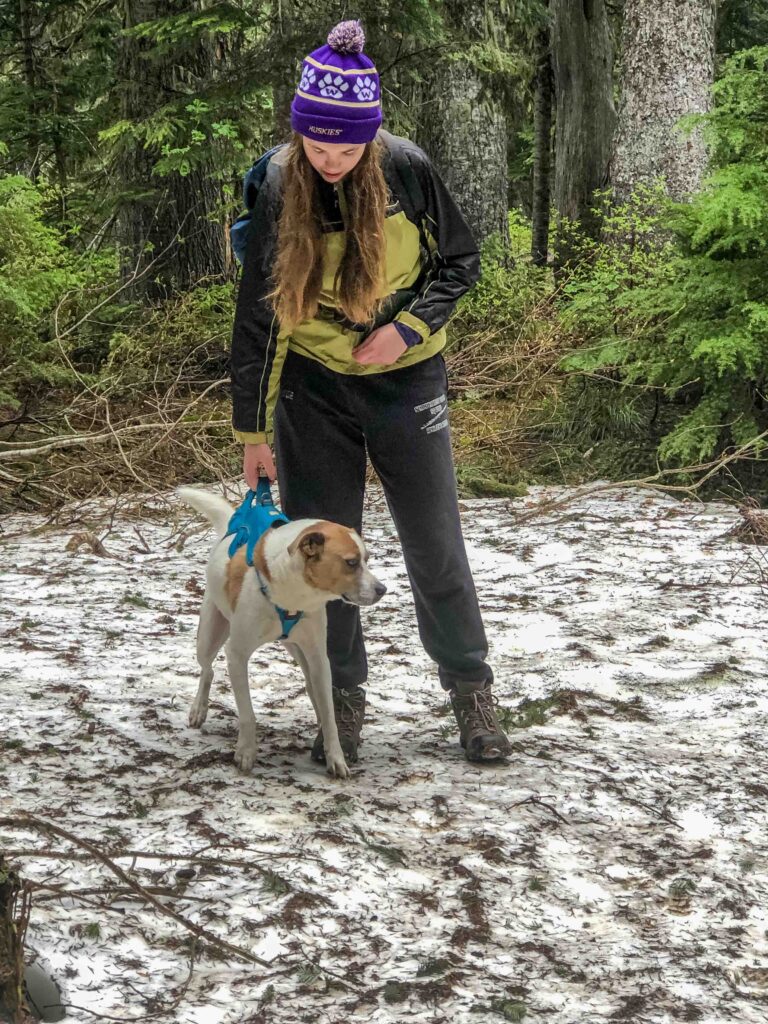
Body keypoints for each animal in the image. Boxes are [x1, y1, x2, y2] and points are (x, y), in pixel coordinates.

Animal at [177, 487, 387, 774]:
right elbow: (247, 714)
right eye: (351, 562)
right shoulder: (237, 654)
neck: (295, 594)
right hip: (209, 635)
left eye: (366, 560)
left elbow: (330, 716)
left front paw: (335, 756)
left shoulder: (318, 657)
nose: (382, 590)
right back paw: (199, 708)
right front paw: (246, 751)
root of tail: (229, 526)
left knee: (312, 688)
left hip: (300, 652)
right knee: (207, 669)